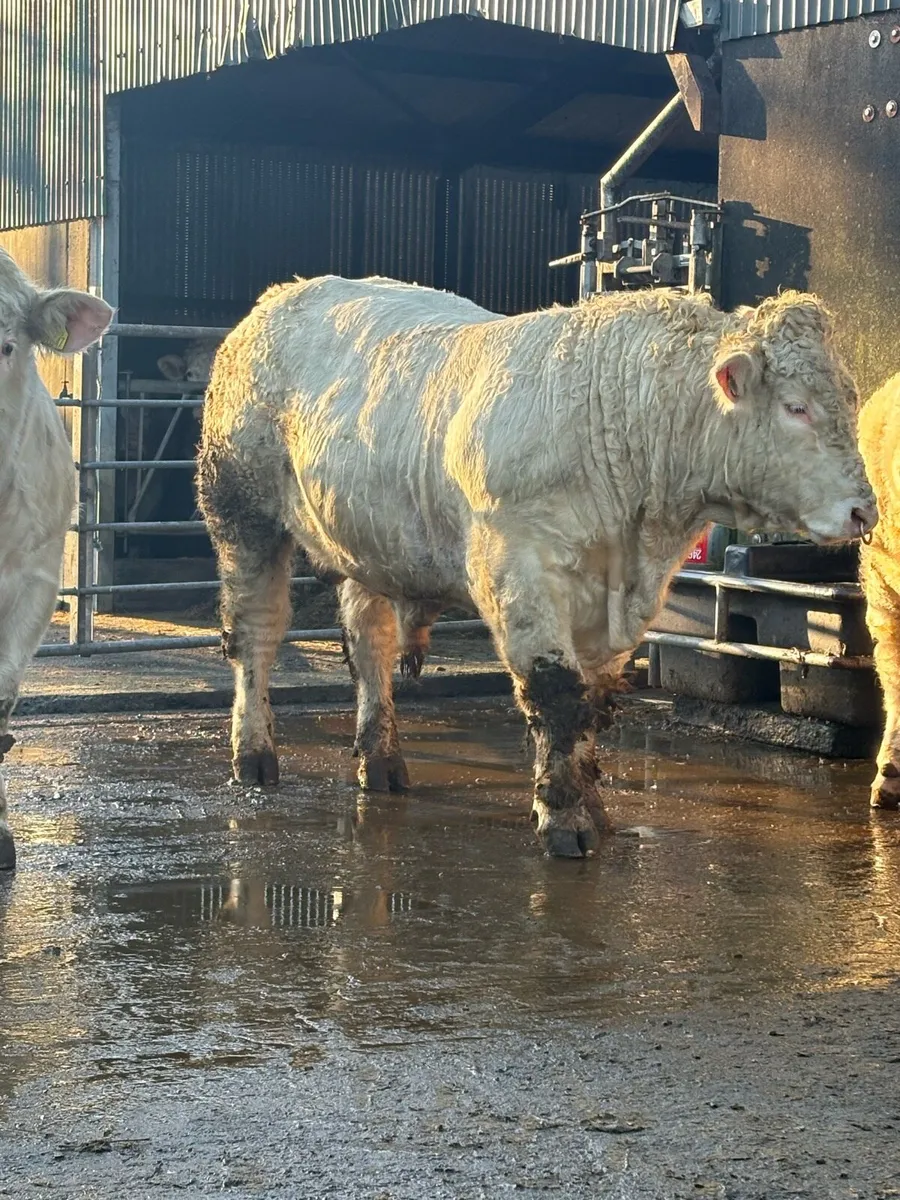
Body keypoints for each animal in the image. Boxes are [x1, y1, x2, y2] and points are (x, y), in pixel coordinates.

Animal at [197, 276, 876, 858]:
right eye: (796, 408)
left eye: (848, 401)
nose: (864, 510)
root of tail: (277, 299)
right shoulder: (519, 568)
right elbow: (556, 693)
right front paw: (564, 819)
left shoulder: (611, 603)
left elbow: (591, 701)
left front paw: (593, 806)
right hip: (240, 512)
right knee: (256, 634)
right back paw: (253, 756)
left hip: (369, 544)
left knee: (371, 647)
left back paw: (382, 761)